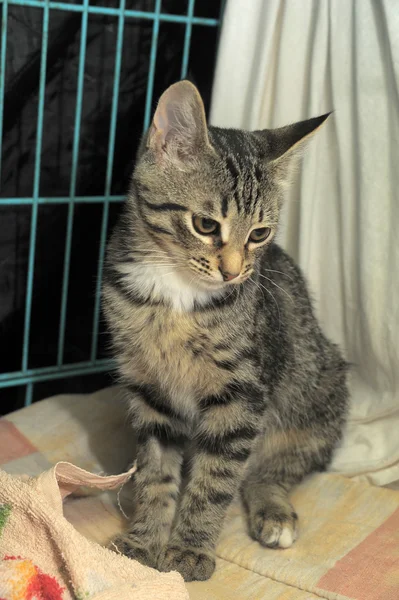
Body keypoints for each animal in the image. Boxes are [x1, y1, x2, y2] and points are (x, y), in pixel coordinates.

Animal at [103, 79, 350, 580]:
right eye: (205, 224)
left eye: (259, 234)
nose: (234, 273)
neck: (175, 294)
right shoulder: (148, 391)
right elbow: (155, 471)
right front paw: (144, 540)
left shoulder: (242, 395)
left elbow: (216, 477)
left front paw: (189, 549)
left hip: (317, 393)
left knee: (272, 468)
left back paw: (274, 511)